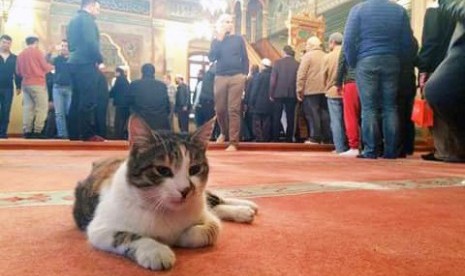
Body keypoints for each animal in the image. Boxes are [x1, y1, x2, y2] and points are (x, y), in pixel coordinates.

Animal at [74, 115, 260, 270]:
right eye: (162, 170)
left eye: (194, 169)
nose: (186, 190)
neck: (166, 210)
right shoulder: (99, 228)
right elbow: (125, 235)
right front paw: (155, 251)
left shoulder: (204, 214)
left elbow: (210, 229)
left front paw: (178, 237)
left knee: (214, 200)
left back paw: (245, 207)